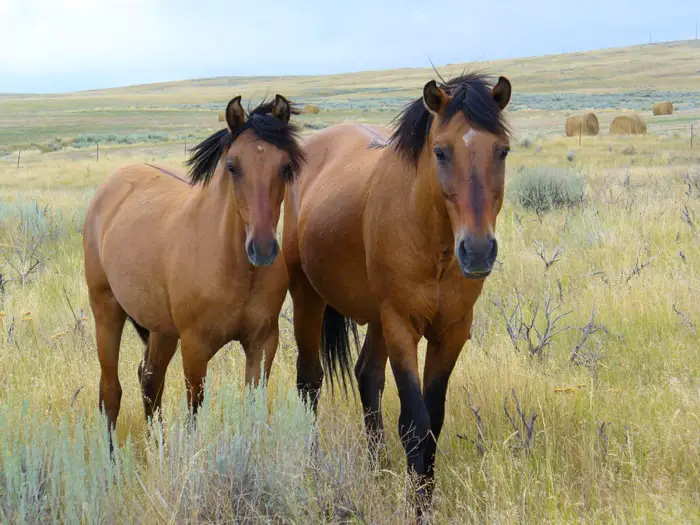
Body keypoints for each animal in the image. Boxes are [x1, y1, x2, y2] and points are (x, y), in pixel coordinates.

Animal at [84, 95, 304, 442]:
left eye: (285, 166)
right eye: (233, 166)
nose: (263, 249)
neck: (234, 268)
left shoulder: (262, 343)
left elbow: (252, 409)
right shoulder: (195, 347)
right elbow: (194, 411)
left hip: (161, 329)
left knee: (150, 378)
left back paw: (157, 444)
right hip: (106, 311)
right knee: (110, 391)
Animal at [282, 73, 512, 516]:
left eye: (503, 151)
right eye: (440, 152)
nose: (477, 250)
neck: (434, 241)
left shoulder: (451, 331)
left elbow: (434, 418)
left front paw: (426, 495)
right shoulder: (402, 325)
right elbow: (414, 423)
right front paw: (417, 506)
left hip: (375, 316)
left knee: (367, 376)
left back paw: (377, 468)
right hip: (309, 296)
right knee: (309, 382)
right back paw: (312, 465)